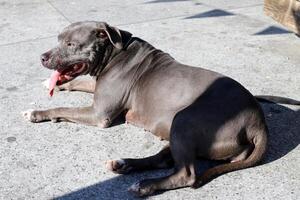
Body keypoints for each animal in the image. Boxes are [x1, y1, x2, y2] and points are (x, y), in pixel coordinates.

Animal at [21, 21, 300, 196]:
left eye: (71, 44)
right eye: (58, 39)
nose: (42, 57)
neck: (115, 51)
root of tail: (257, 121)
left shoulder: (99, 114)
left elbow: (63, 108)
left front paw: (37, 113)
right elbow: (81, 83)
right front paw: (57, 85)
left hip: (184, 119)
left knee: (186, 173)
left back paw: (145, 186)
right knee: (165, 159)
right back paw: (124, 165)